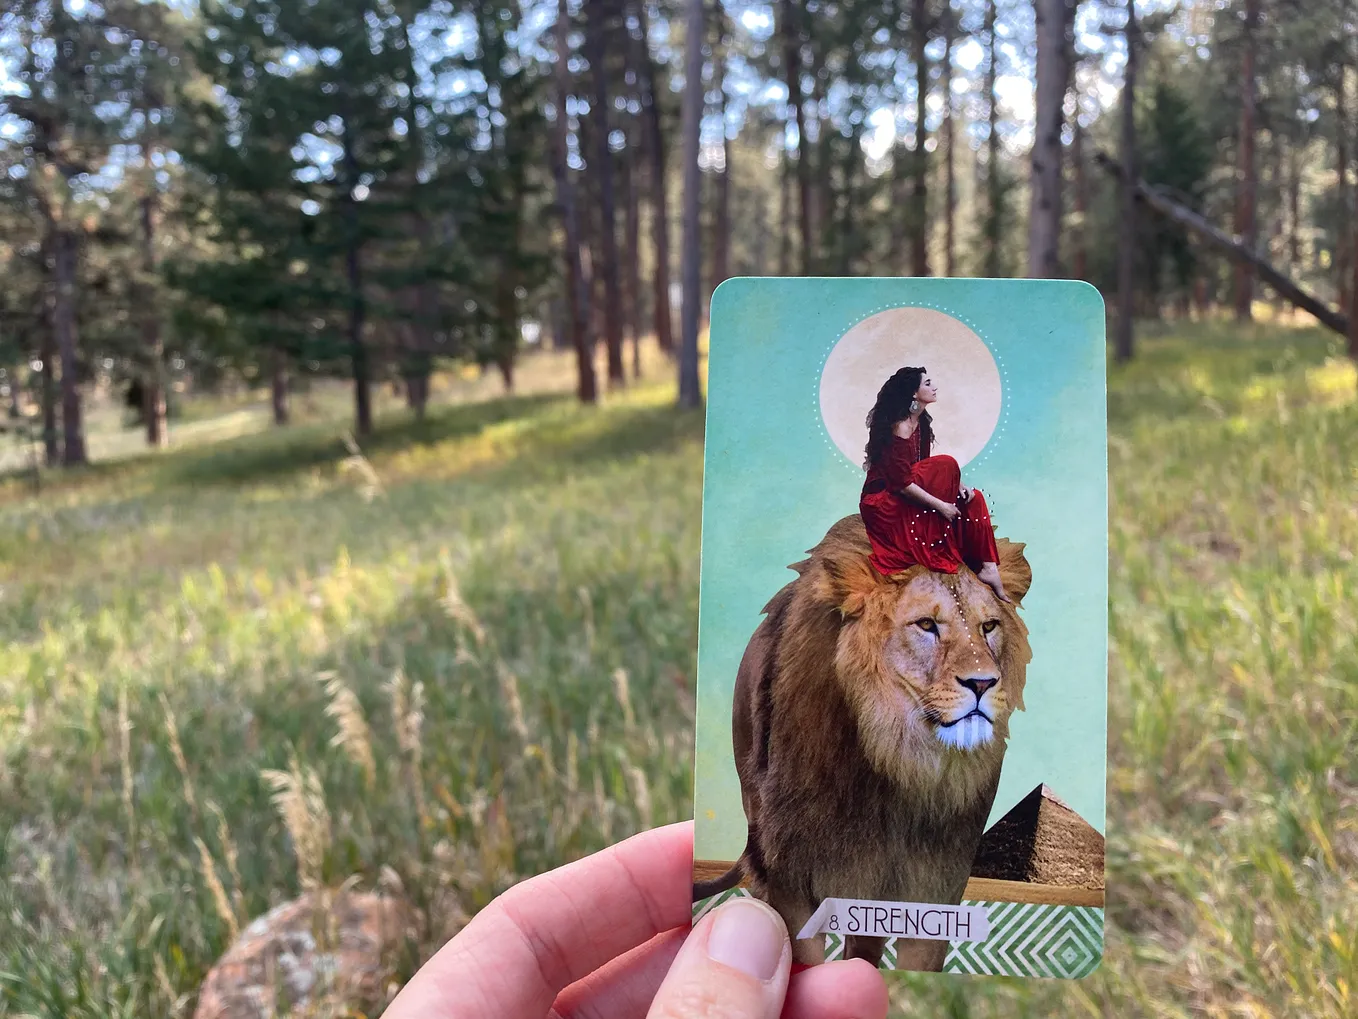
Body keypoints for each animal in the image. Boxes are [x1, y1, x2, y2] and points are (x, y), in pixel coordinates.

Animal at [700, 513, 1026, 967]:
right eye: (926, 624)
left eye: (989, 626)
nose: (983, 683)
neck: (900, 769)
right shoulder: (793, 880)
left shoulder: (933, 887)